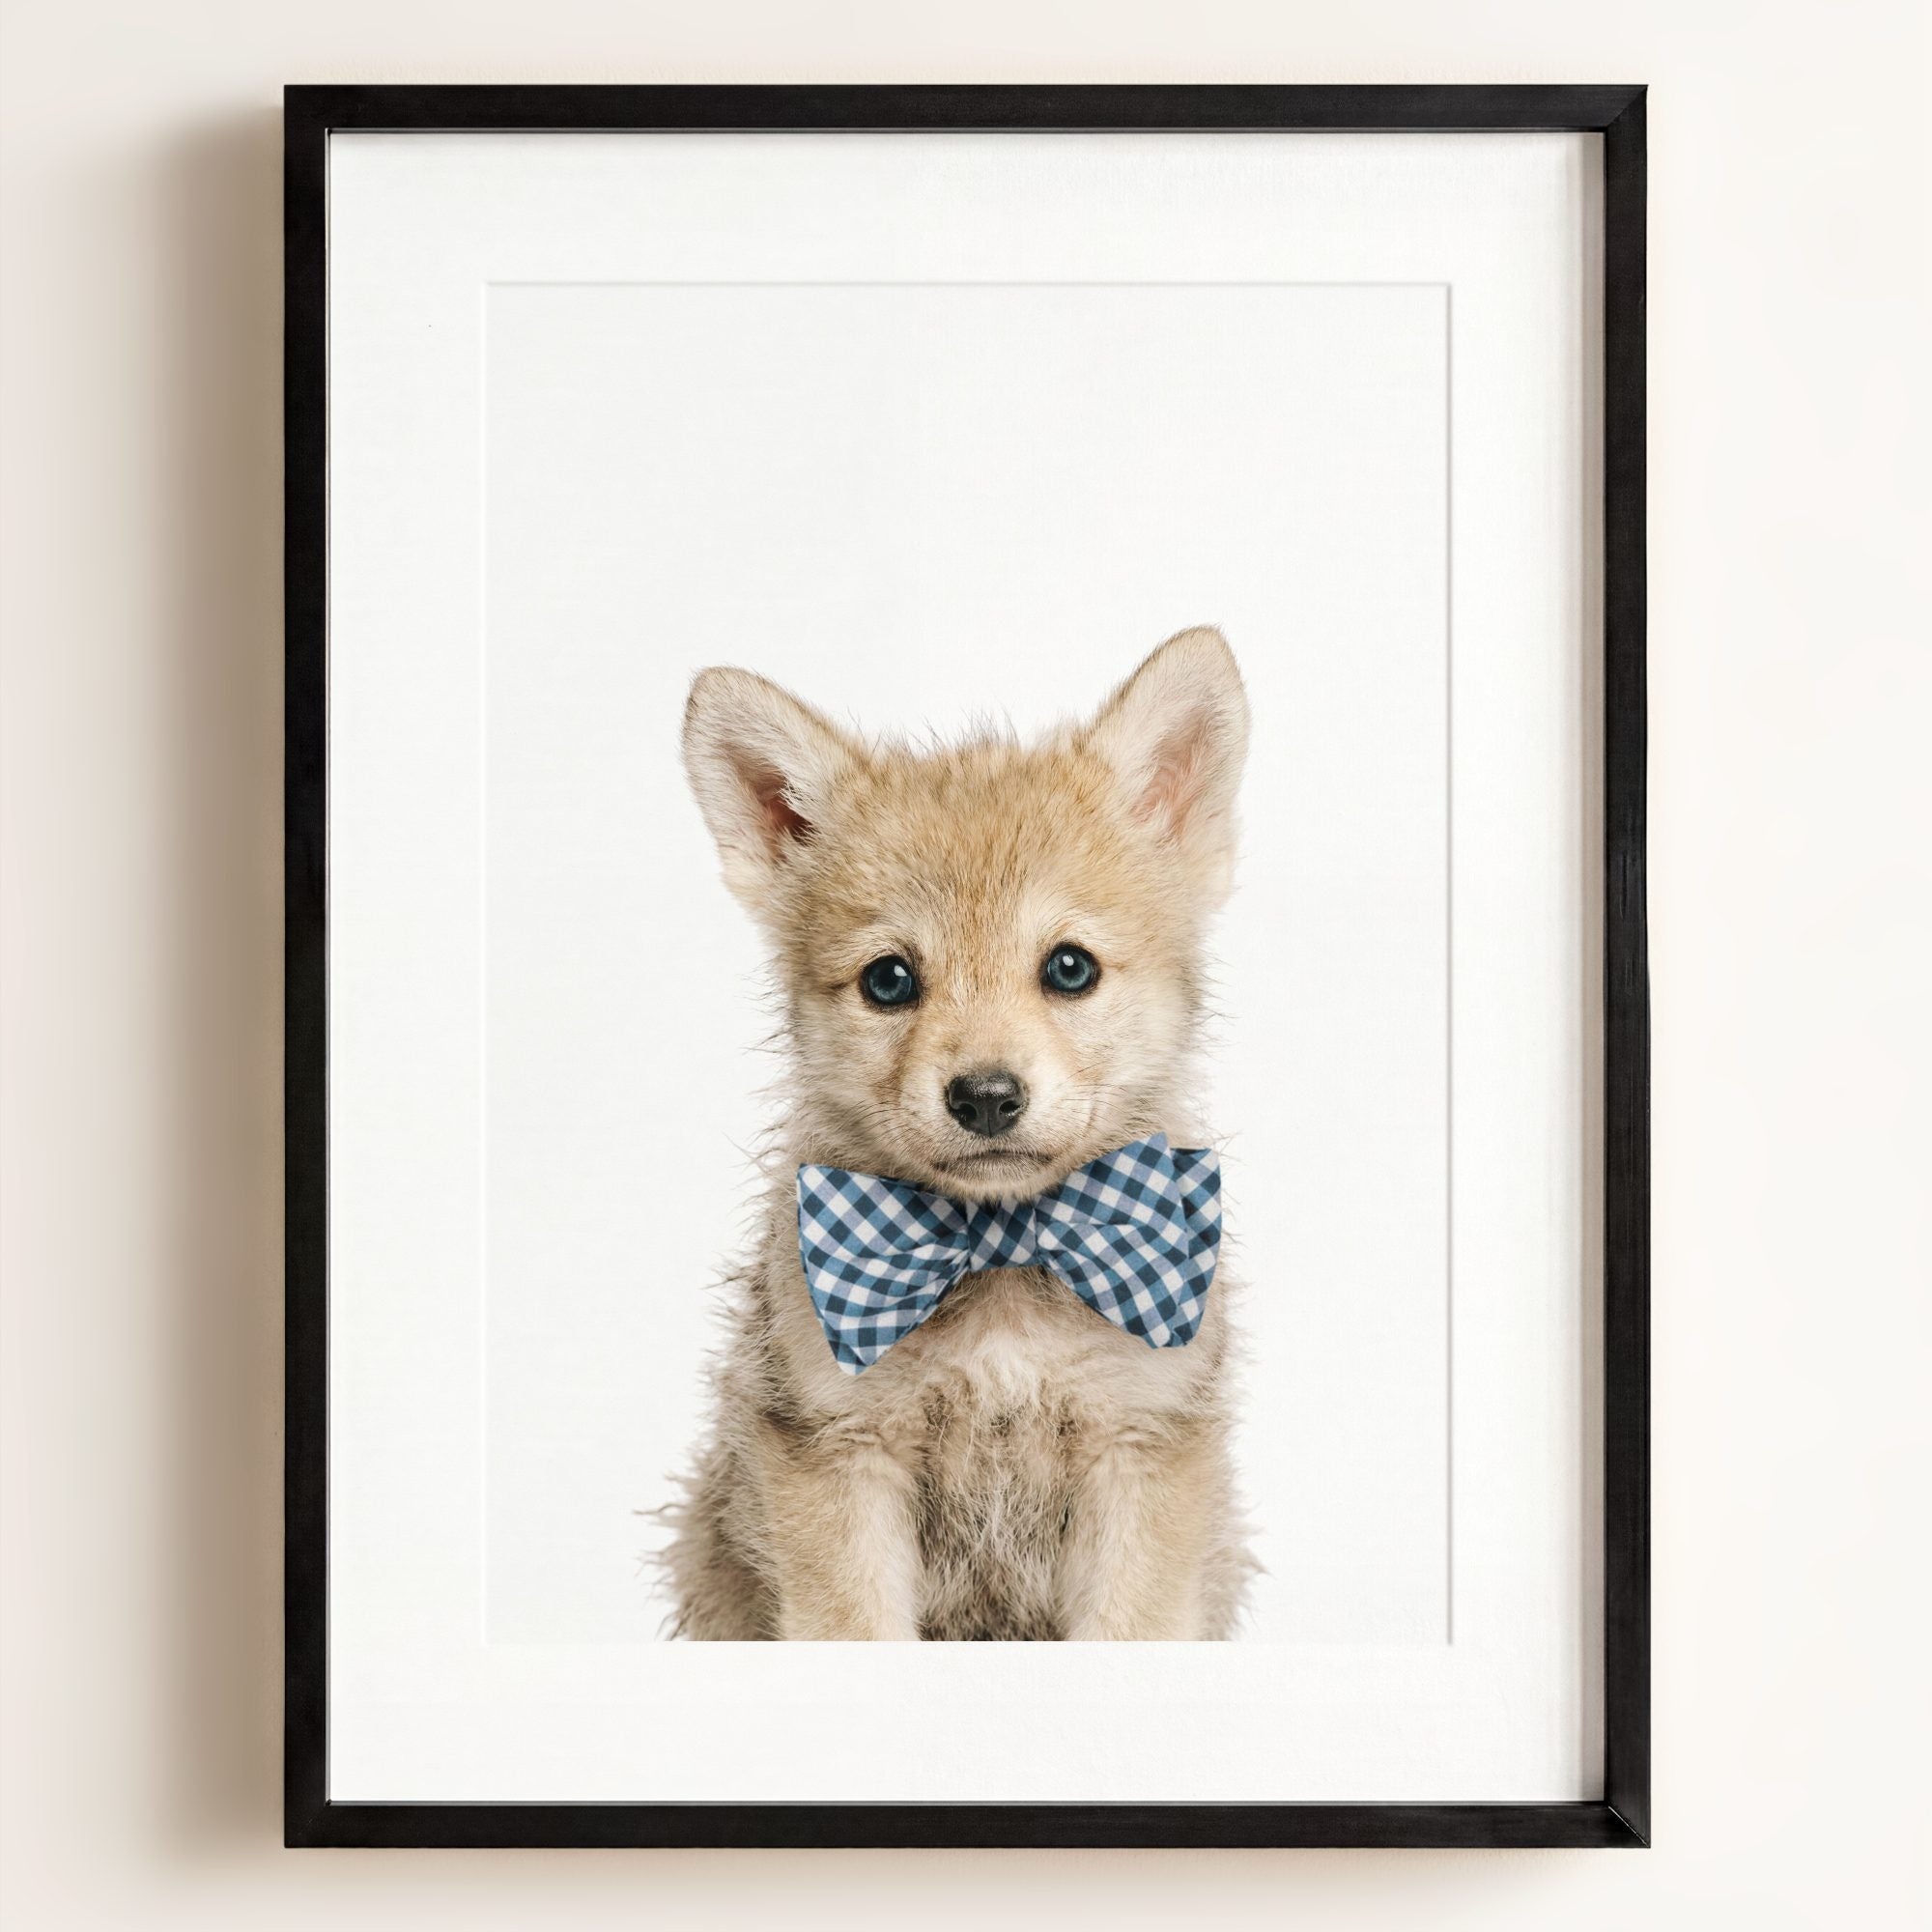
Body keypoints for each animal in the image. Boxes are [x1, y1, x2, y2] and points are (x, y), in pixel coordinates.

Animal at [662, 627, 1253, 1639]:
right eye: (889, 980)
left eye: (1069, 968)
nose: (984, 1097)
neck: (1003, 1251)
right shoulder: (840, 1454)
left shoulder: (1139, 1452)